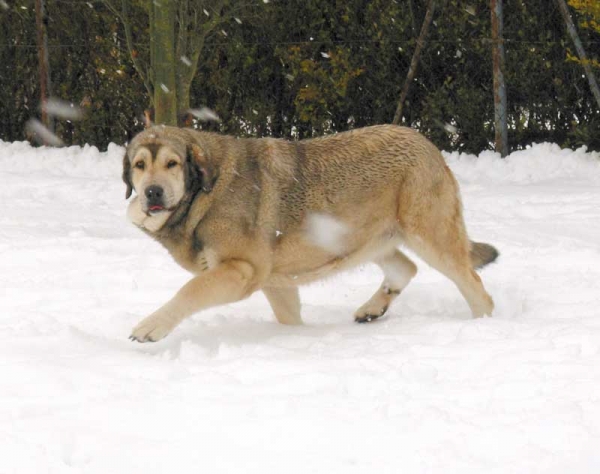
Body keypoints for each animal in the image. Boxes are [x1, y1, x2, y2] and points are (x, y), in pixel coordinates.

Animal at [122, 124, 496, 342]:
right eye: (140, 166)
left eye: (172, 164)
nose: (152, 192)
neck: (204, 192)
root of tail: (426, 142)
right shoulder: (275, 281)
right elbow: (289, 318)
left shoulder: (243, 271)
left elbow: (190, 290)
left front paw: (152, 325)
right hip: (364, 239)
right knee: (406, 267)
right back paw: (373, 309)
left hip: (430, 237)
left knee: (475, 287)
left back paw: (482, 327)